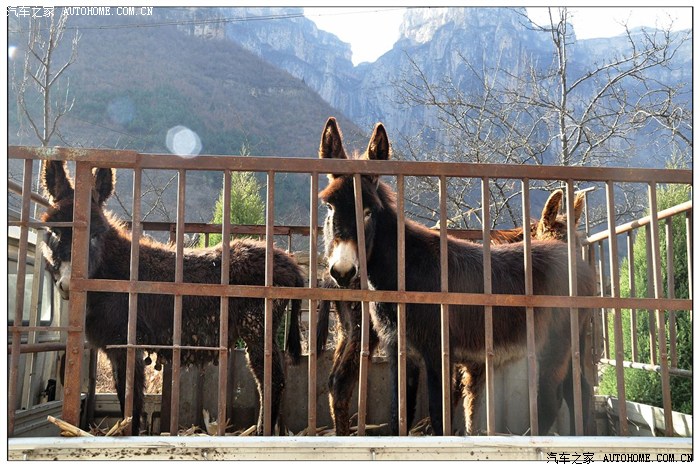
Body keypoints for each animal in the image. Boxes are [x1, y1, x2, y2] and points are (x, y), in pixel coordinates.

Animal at [40, 161, 305, 435]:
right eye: (53, 232)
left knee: (272, 379)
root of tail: (290, 263)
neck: (113, 268)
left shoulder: (125, 343)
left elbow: (130, 397)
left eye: (95, 235)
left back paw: (261, 432)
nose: (67, 284)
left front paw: (130, 434)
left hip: (257, 326)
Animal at [317, 117, 595, 436]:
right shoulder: (399, 351)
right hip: (571, 344)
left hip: (555, 345)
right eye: (329, 206)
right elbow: (399, 416)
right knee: (579, 390)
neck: (405, 269)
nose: (342, 271)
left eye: (368, 211)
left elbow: (440, 418)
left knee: (555, 397)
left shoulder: (438, 352)